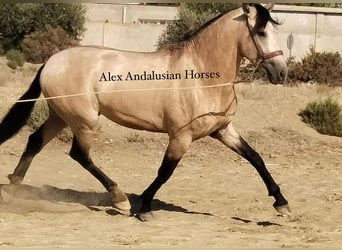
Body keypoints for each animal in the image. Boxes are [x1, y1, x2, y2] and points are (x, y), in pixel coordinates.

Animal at [0, 3, 290, 221]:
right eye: (261, 33)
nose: (281, 73)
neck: (201, 77)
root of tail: (51, 61)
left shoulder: (223, 130)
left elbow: (256, 158)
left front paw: (281, 202)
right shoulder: (180, 137)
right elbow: (164, 172)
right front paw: (145, 208)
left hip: (60, 117)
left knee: (35, 141)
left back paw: (13, 187)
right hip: (84, 121)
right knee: (79, 155)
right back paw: (119, 199)